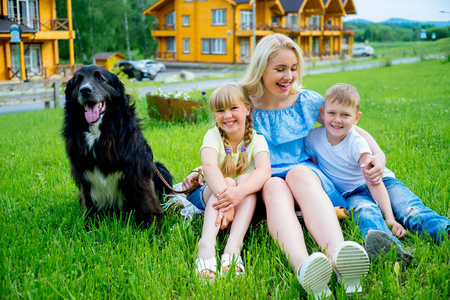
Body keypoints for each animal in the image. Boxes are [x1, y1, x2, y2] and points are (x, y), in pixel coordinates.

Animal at [61, 63, 171, 227]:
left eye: (100, 78)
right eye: (77, 81)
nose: (85, 90)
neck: (98, 132)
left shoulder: (137, 168)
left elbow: (146, 198)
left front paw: (151, 226)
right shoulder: (83, 174)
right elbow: (89, 202)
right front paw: (90, 225)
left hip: (160, 168)